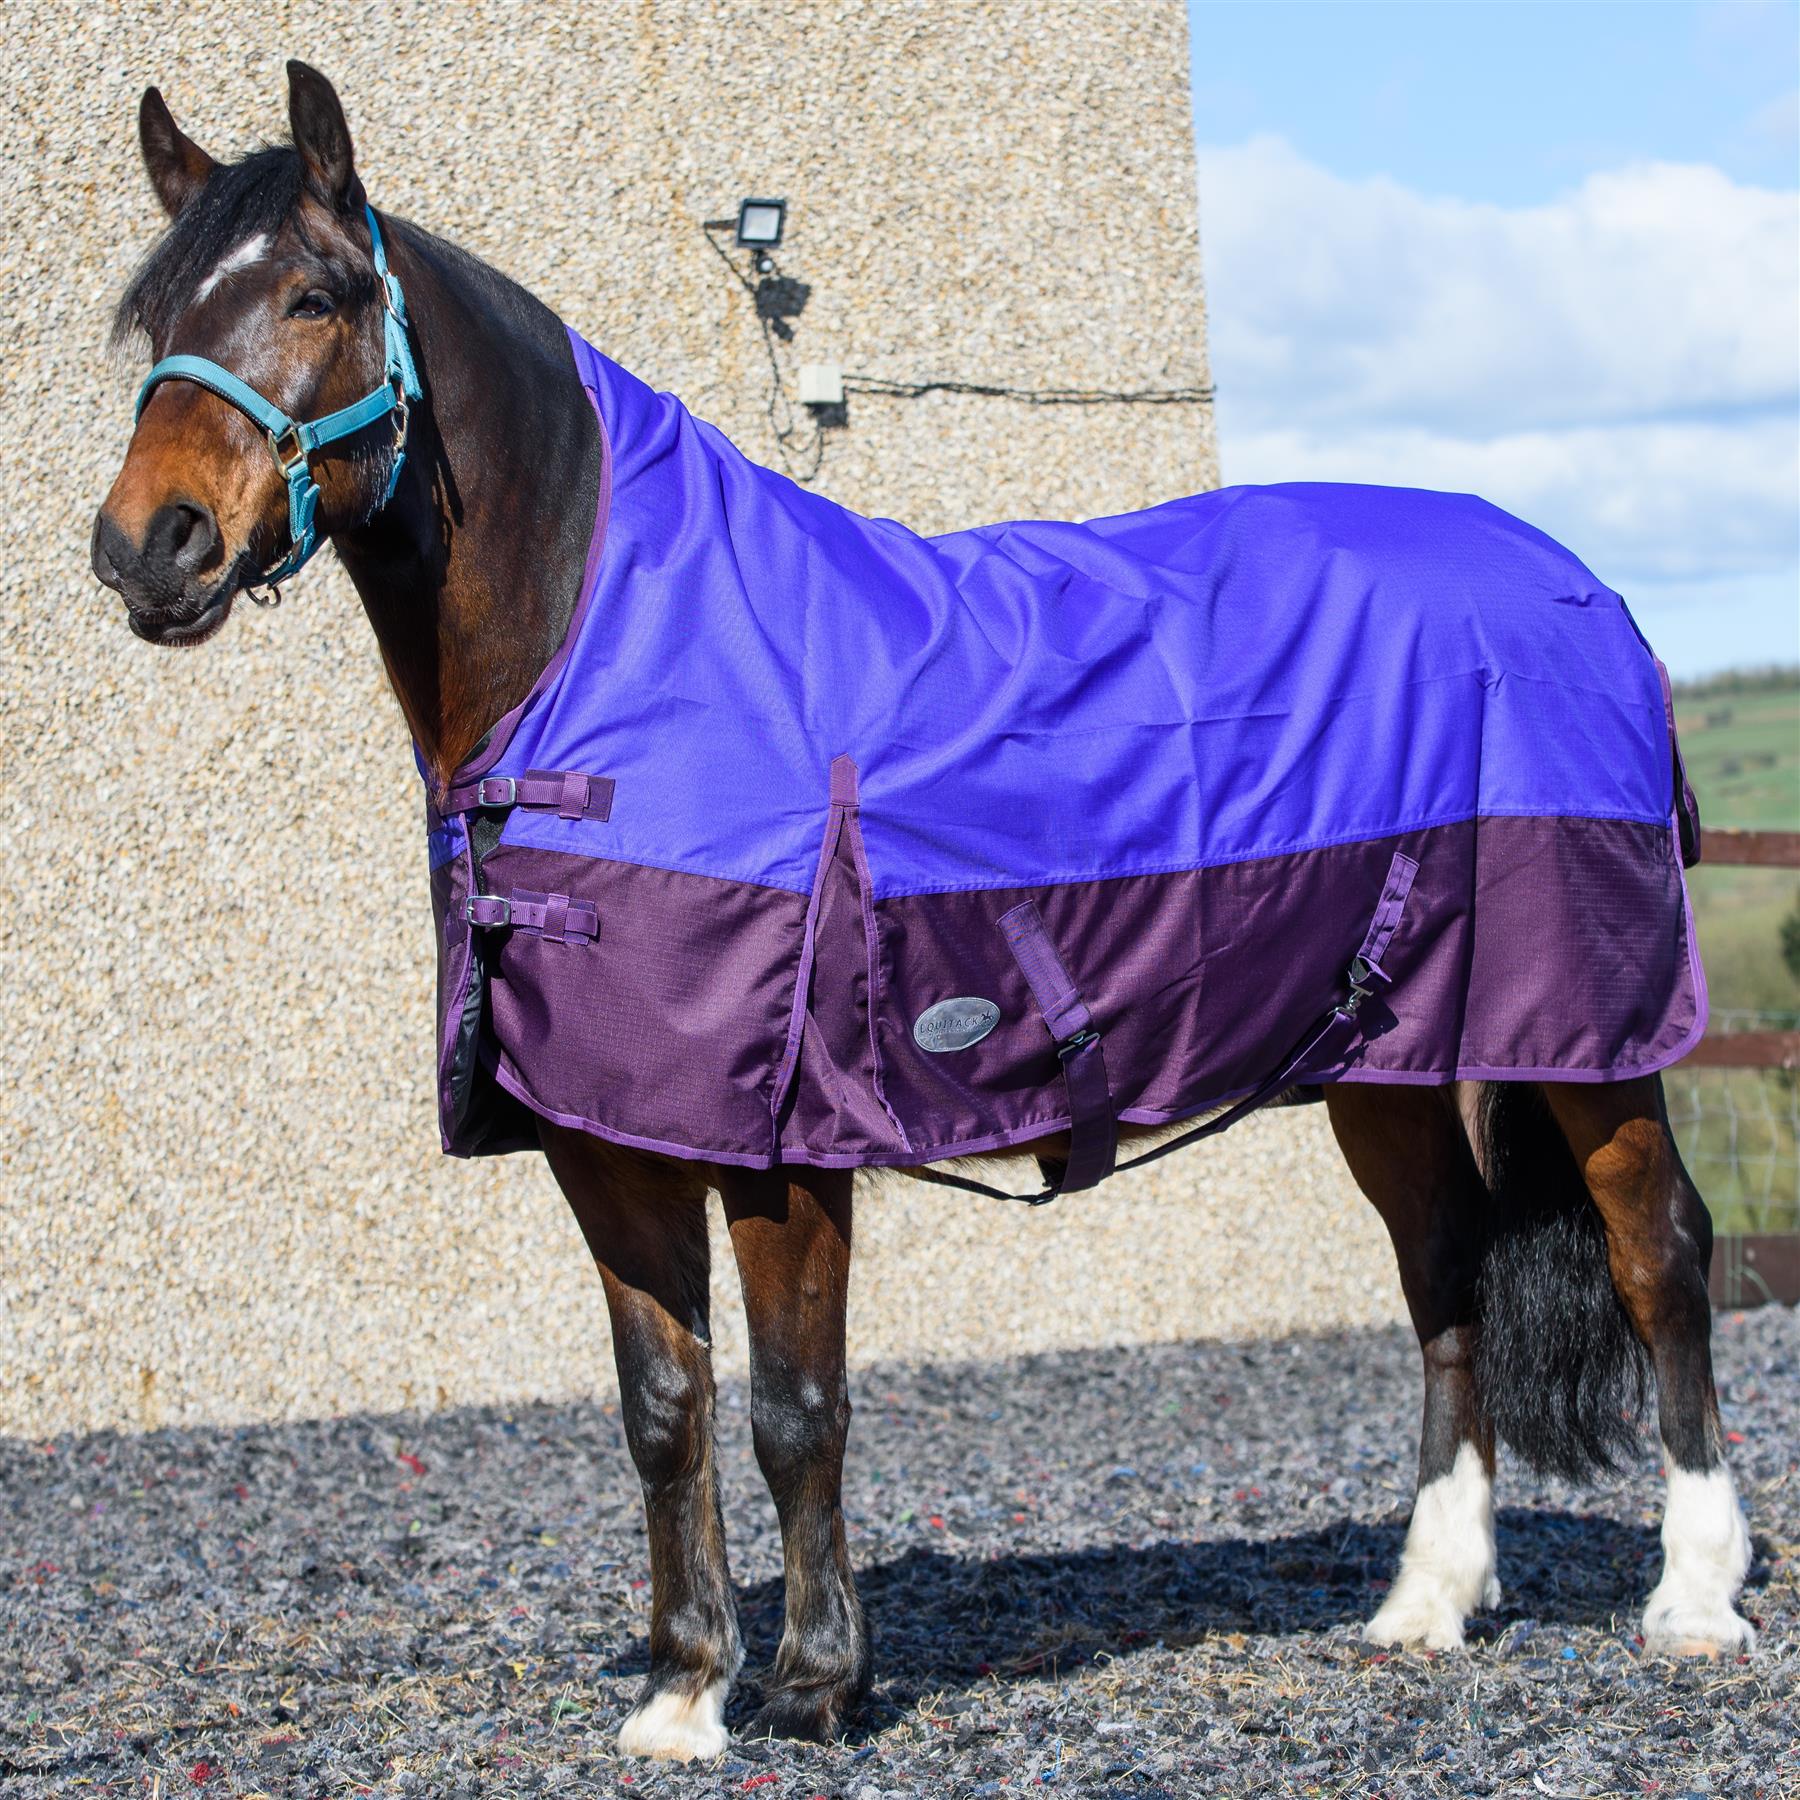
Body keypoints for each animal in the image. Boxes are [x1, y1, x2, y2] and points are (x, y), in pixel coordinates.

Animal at [91, 63, 1755, 1762]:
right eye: (150, 314)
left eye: (315, 294)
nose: (146, 547)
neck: (624, 654)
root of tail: (1581, 591)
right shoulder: (609, 1140)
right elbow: (665, 1413)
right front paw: (683, 1690)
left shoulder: (782, 1145)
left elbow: (793, 1409)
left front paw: (819, 1682)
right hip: (1390, 1063)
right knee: (1444, 1278)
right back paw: (1427, 1603)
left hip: (1592, 1037)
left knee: (1661, 1260)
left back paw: (1694, 1602)